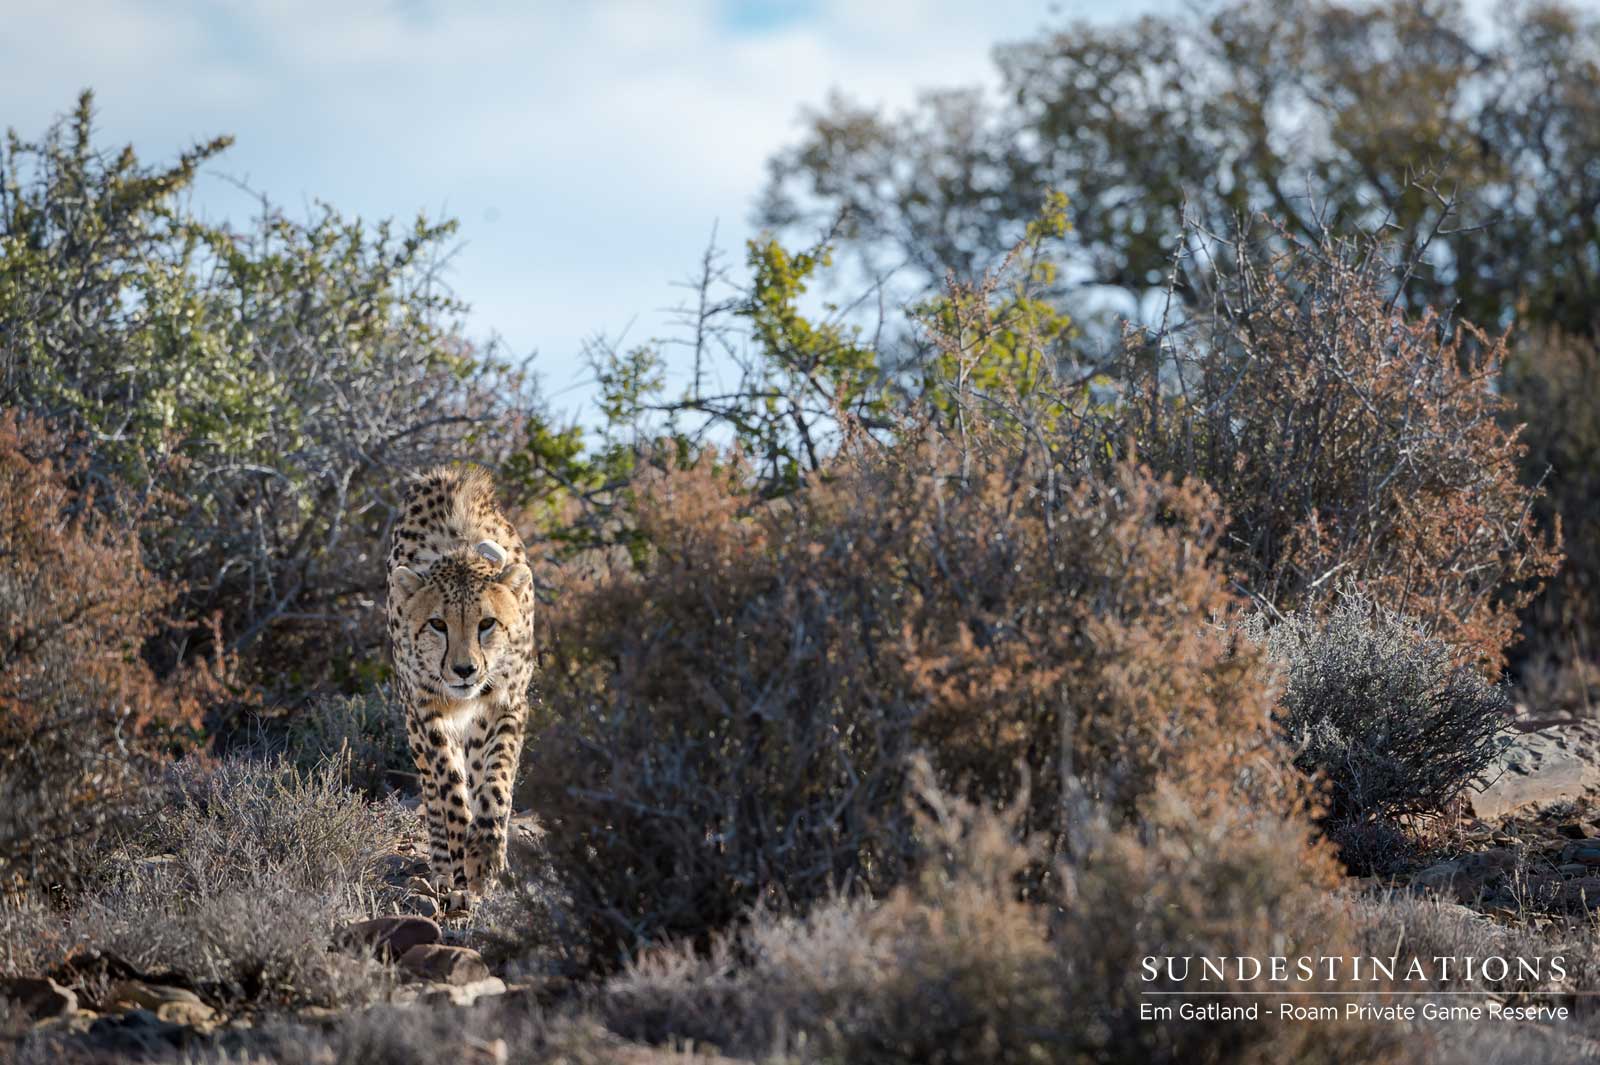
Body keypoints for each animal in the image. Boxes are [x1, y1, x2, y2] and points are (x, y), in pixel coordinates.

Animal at [386, 464, 534, 909]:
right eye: (437, 624)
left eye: (487, 623)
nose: (465, 670)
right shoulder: (425, 707)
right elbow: (449, 786)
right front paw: (459, 846)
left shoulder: (507, 704)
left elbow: (497, 777)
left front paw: (484, 853)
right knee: (432, 787)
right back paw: (443, 869)